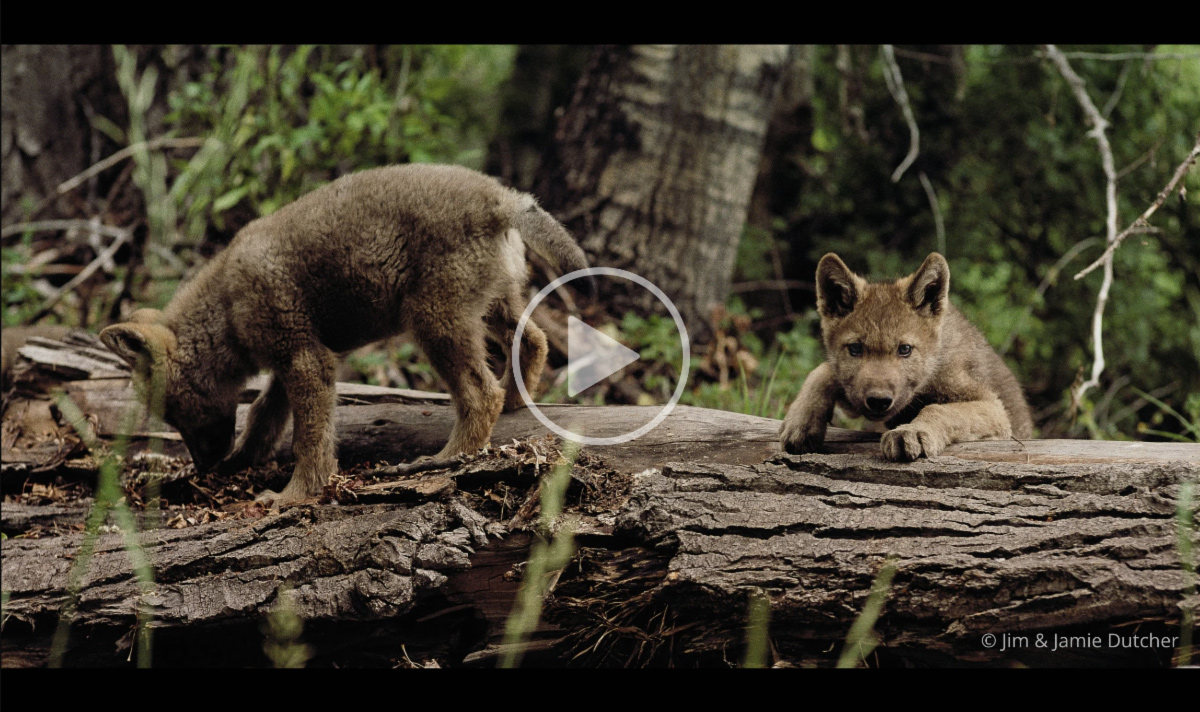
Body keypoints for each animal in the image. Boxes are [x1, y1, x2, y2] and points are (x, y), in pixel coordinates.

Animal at [101, 164, 592, 506]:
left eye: (170, 411)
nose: (205, 469)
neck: (225, 311)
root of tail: (503, 200)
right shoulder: (293, 360)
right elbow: (263, 416)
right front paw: (245, 459)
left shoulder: (304, 359)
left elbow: (307, 439)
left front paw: (293, 497)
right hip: (490, 306)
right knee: (534, 343)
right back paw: (514, 401)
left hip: (434, 319)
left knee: (479, 392)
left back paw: (446, 458)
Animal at [779, 252, 1032, 460]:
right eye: (855, 349)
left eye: (905, 349)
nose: (879, 401)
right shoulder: (855, 398)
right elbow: (823, 371)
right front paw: (800, 421)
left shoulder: (994, 408)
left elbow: (939, 409)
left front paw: (912, 431)